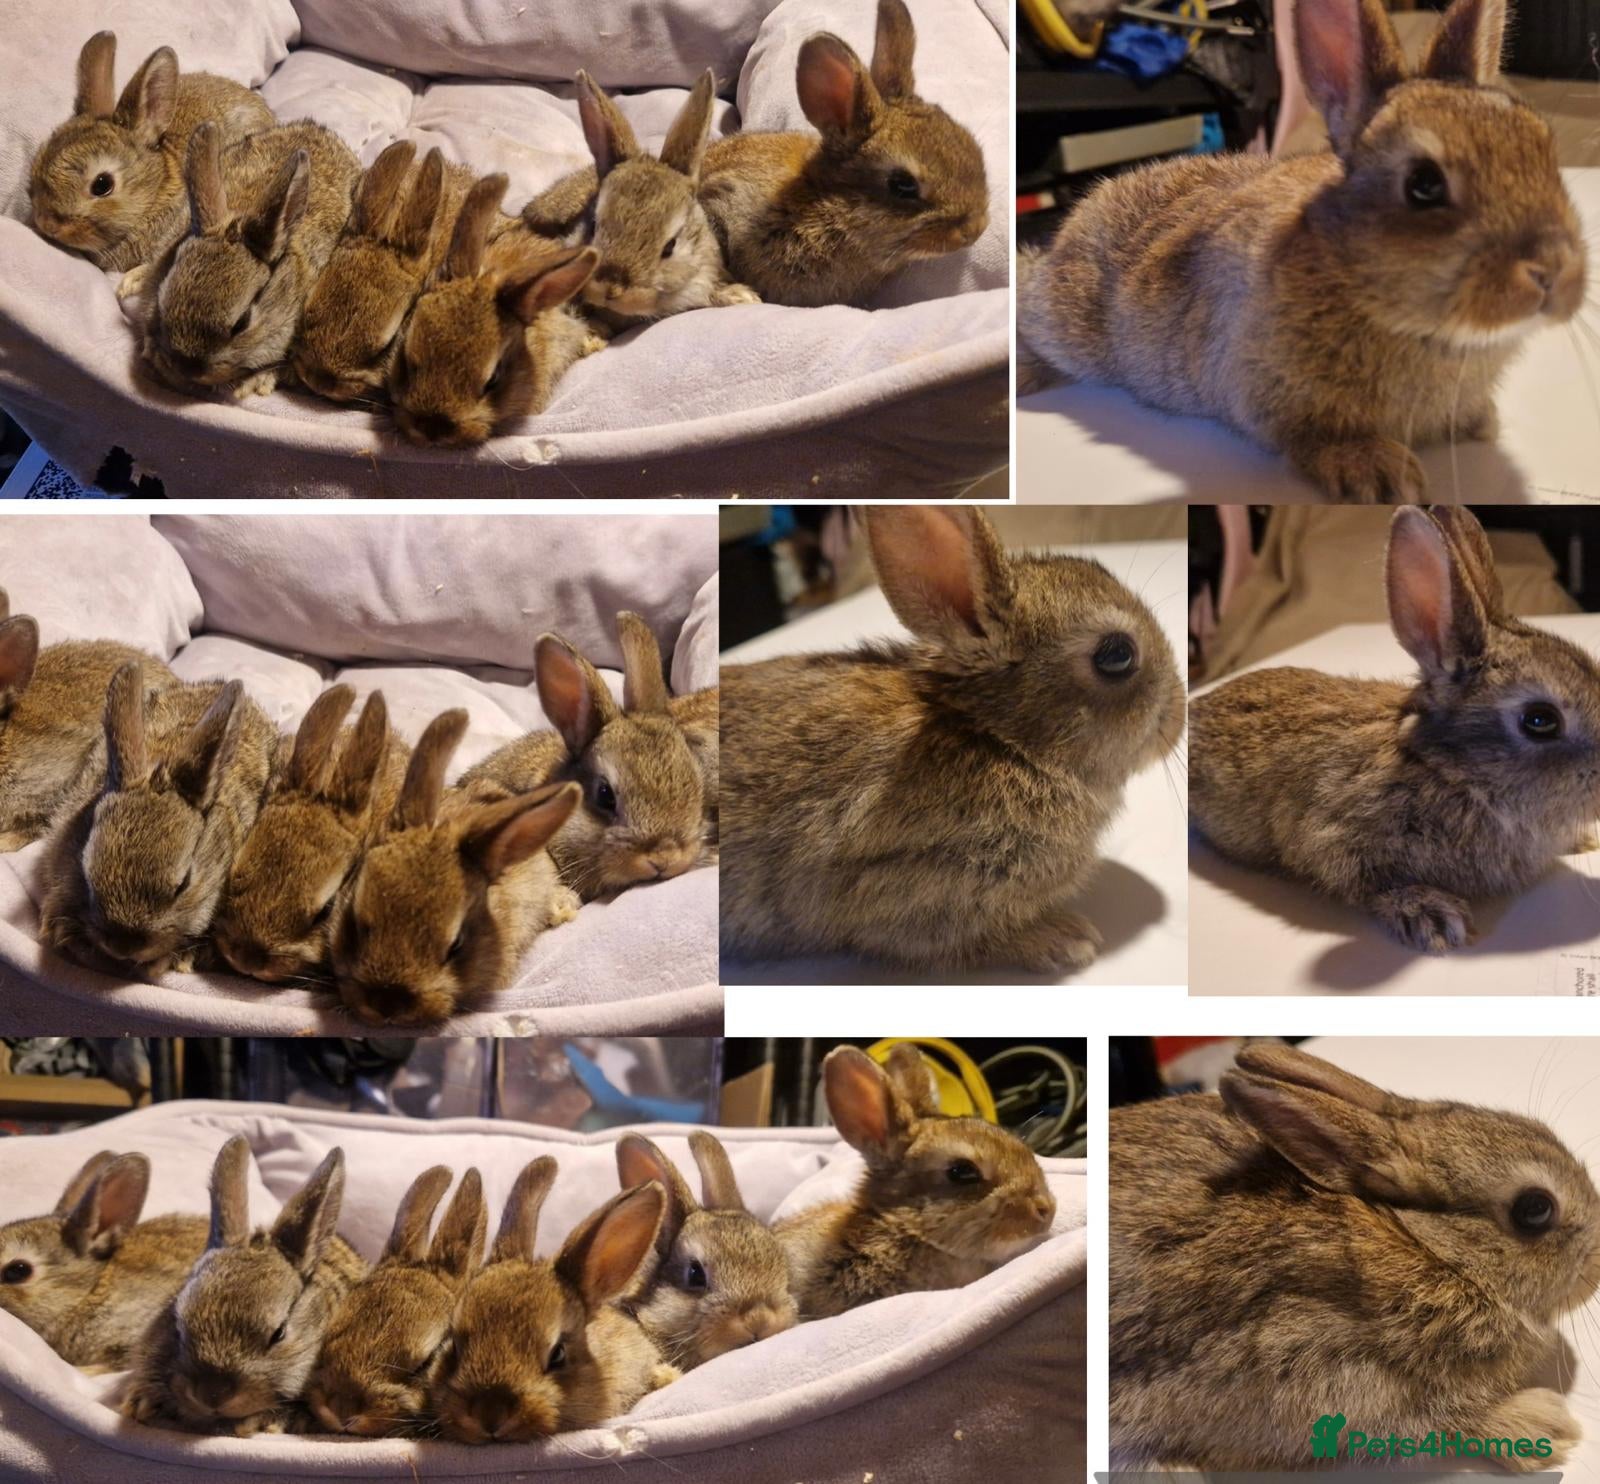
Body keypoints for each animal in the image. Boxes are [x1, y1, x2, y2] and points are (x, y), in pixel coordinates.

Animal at [1017, 0, 1586, 504]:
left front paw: (1481, 422)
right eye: (1424, 185)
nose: (1552, 271)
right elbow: (1312, 436)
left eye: (1543, 148)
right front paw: (1377, 470)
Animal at [1110, 1042, 1600, 1470]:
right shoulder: (1313, 1369)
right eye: (1534, 1209)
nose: (1596, 1263)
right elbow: (1434, 1420)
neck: (1428, 1248)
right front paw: (1544, 1427)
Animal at [1190, 505, 1600, 953]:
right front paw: (1432, 914)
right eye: (1540, 720)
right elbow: (1367, 882)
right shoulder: (1334, 837)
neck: (1448, 769)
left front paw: (1582, 840)